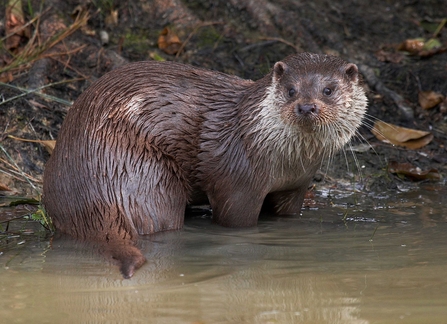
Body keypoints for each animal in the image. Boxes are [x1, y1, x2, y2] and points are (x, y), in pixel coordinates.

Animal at [43, 53, 370, 278]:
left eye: (328, 90)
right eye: (291, 90)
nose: (306, 106)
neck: (286, 162)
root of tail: (91, 195)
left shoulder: (297, 187)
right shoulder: (238, 180)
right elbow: (235, 220)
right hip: (145, 174)